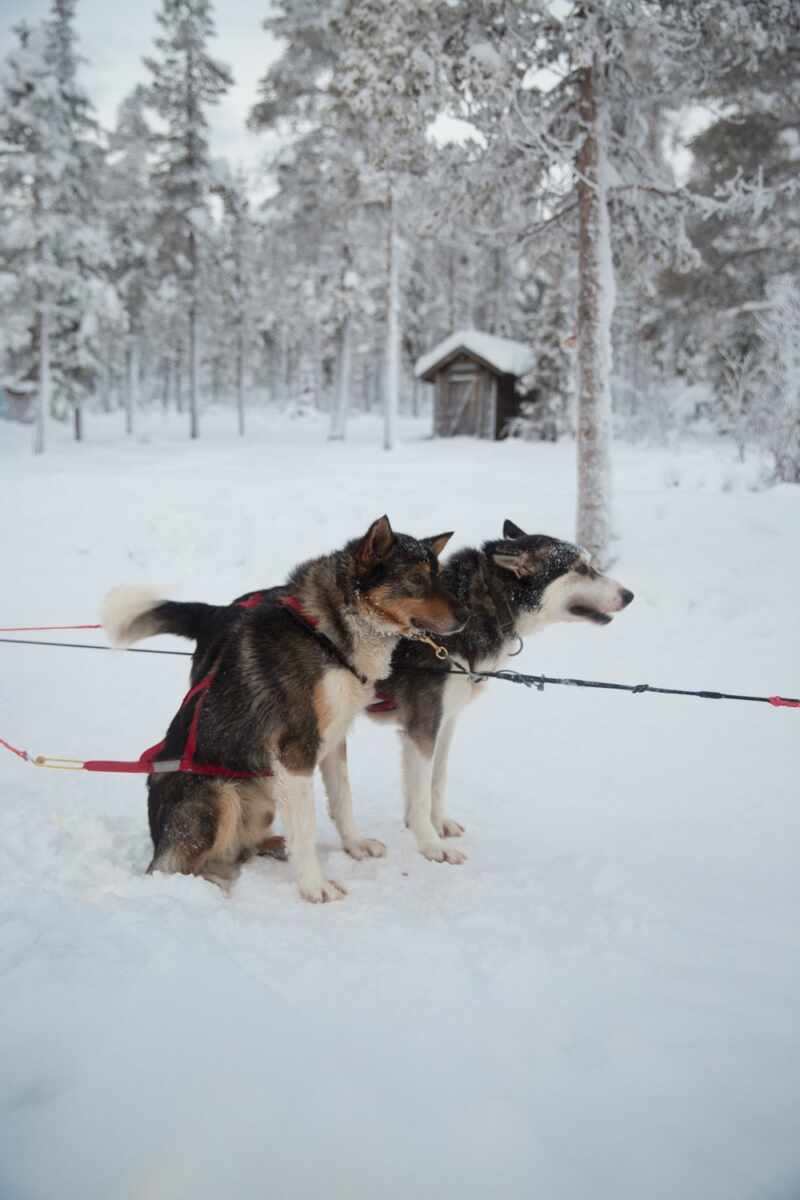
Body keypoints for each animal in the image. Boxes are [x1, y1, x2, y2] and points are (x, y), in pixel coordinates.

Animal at [106, 516, 470, 902]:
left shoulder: (333, 739)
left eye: (439, 576)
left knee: (240, 848)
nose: (466, 614)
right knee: (174, 868)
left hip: (263, 795)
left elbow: (342, 800)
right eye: (416, 579)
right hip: (217, 794)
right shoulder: (296, 751)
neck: (327, 636)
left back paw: (274, 845)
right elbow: (307, 828)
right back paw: (214, 886)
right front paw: (315, 887)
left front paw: (354, 846)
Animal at [362, 520, 633, 868]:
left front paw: (437, 825)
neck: (480, 607)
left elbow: (436, 778)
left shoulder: (445, 722)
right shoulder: (423, 725)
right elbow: (421, 792)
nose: (629, 595)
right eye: (581, 568)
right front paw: (431, 845)